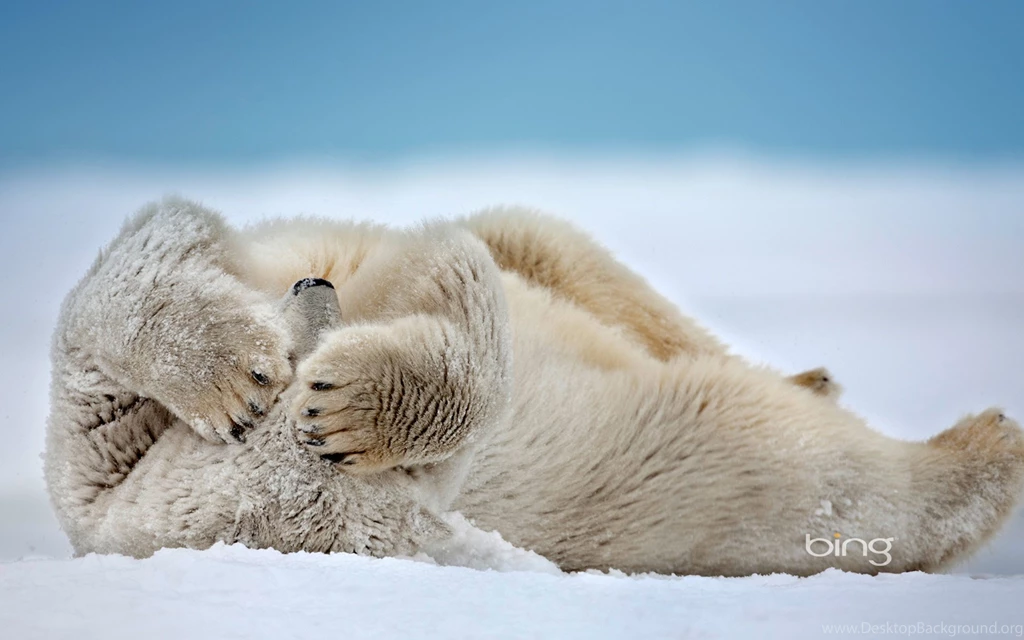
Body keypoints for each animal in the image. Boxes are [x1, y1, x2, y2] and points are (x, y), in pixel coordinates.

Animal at [44, 197, 1024, 575]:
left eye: (306, 347)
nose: (314, 287)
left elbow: (156, 247)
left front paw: (251, 376)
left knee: (563, 253)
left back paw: (816, 374)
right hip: (682, 472)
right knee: (805, 469)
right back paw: (983, 445)